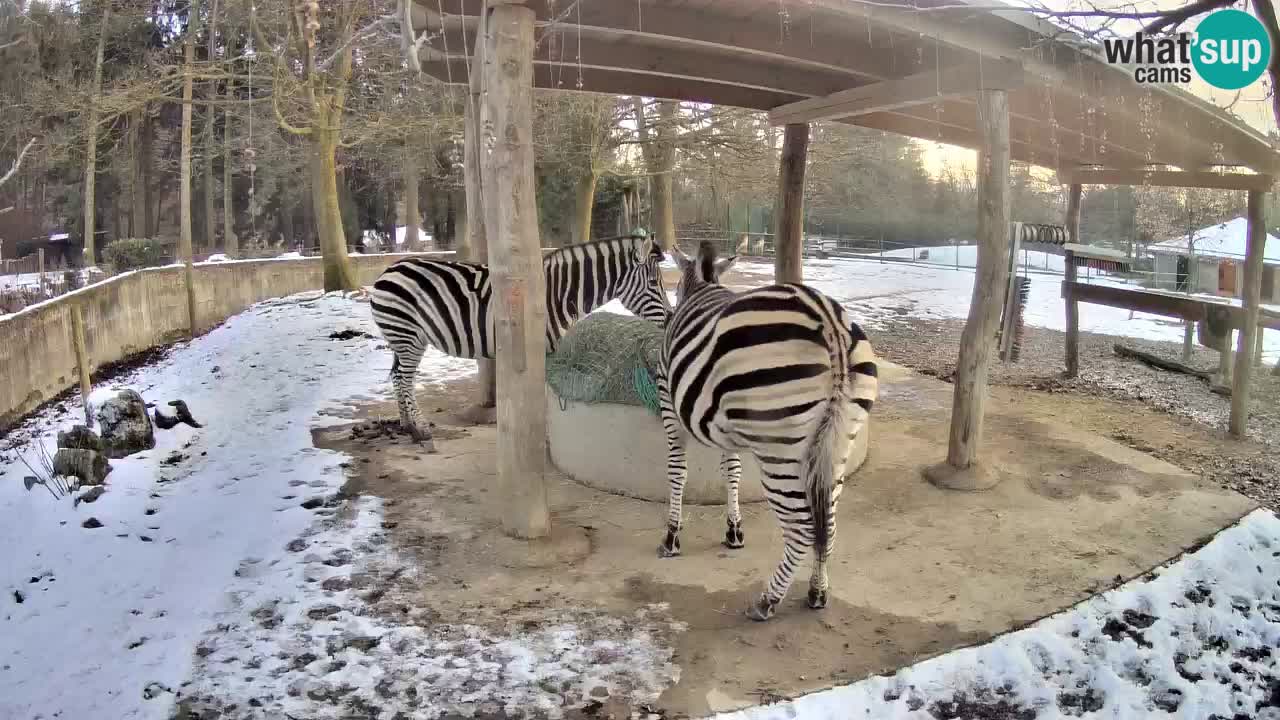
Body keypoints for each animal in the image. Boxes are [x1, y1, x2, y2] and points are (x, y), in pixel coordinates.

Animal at [368, 234, 670, 448]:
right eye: (654, 283)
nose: (670, 318)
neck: (558, 294)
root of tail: (389, 270)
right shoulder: (545, 349)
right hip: (407, 334)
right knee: (405, 379)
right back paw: (420, 430)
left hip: (404, 338)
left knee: (398, 376)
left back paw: (408, 427)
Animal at [655, 239, 875, 617]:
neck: (703, 286)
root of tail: (828, 321)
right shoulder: (724, 425)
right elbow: (731, 471)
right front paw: (733, 530)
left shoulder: (671, 410)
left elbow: (677, 473)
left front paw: (672, 536)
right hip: (837, 443)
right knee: (828, 524)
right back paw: (817, 591)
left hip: (780, 449)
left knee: (803, 529)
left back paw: (768, 600)